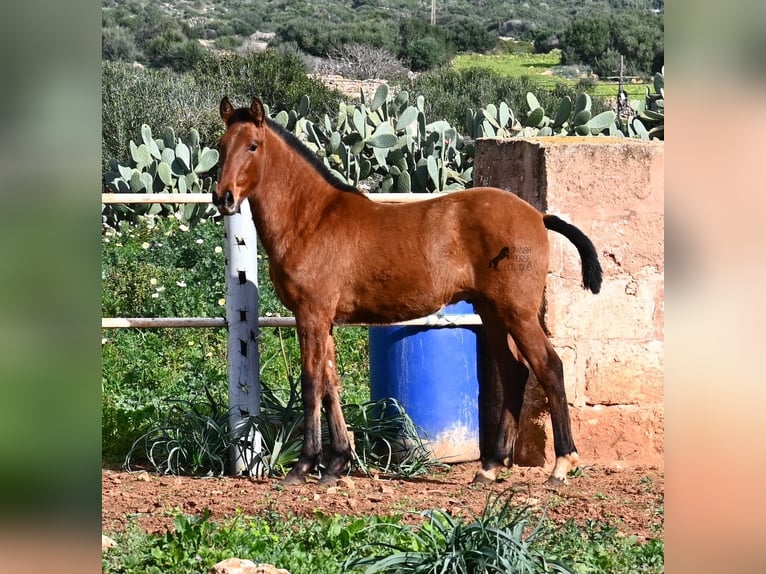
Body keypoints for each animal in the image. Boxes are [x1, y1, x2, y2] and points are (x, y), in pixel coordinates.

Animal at [213, 97, 604, 488]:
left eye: (253, 146)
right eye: (221, 145)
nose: (224, 198)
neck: (312, 219)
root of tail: (538, 216)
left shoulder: (311, 314)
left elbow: (312, 385)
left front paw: (304, 466)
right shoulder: (325, 321)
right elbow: (330, 385)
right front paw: (337, 463)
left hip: (517, 313)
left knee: (549, 367)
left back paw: (561, 465)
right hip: (493, 313)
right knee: (514, 373)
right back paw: (490, 465)